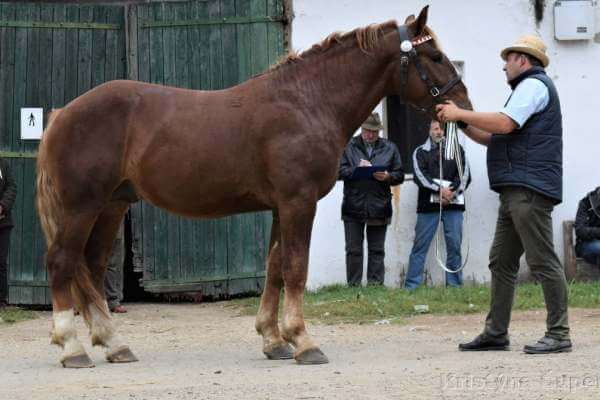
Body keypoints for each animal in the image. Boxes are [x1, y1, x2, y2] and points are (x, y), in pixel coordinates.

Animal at [36, 7, 468, 368]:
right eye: (434, 57)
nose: (462, 105)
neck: (307, 102)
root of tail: (63, 113)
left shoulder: (281, 206)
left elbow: (275, 267)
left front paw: (274, 341)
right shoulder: (298, 203)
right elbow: (295, 268)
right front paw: (303, 341)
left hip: (111, 205)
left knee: (89, 266)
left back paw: (114, 344)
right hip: (81, 206)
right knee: (62, 262)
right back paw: (72, 347)